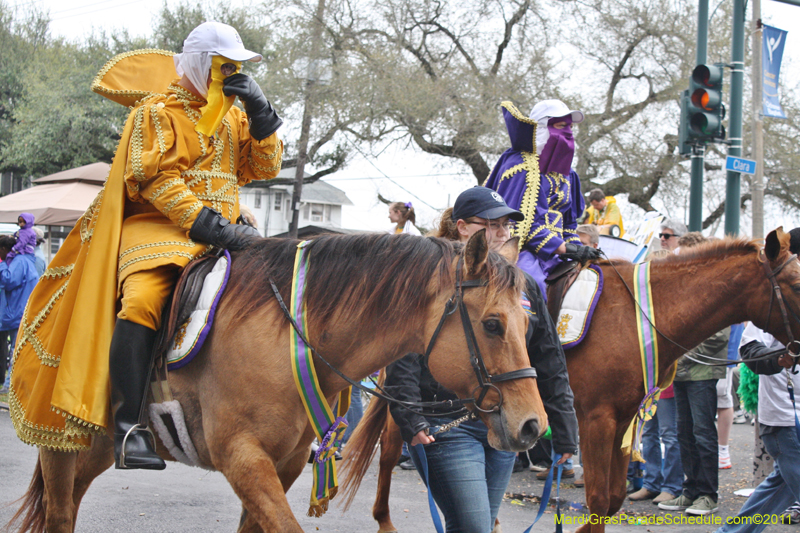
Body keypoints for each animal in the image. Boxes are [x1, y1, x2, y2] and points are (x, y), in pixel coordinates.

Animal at [7, 233, 552, 532]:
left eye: (529, 323)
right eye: (493, 325)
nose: (532, 426)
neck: (288, 330)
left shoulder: (284, 464)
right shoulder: (243, 459)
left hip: (95, 445)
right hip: (58, 446)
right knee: (59, 516)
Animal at [340, 228, 800, 532]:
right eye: (795, 282)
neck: (642, 318)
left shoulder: (624, 421)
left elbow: (612, 498)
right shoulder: (596, 419)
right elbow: (598, 499)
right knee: (392, 447)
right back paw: (384, 518)